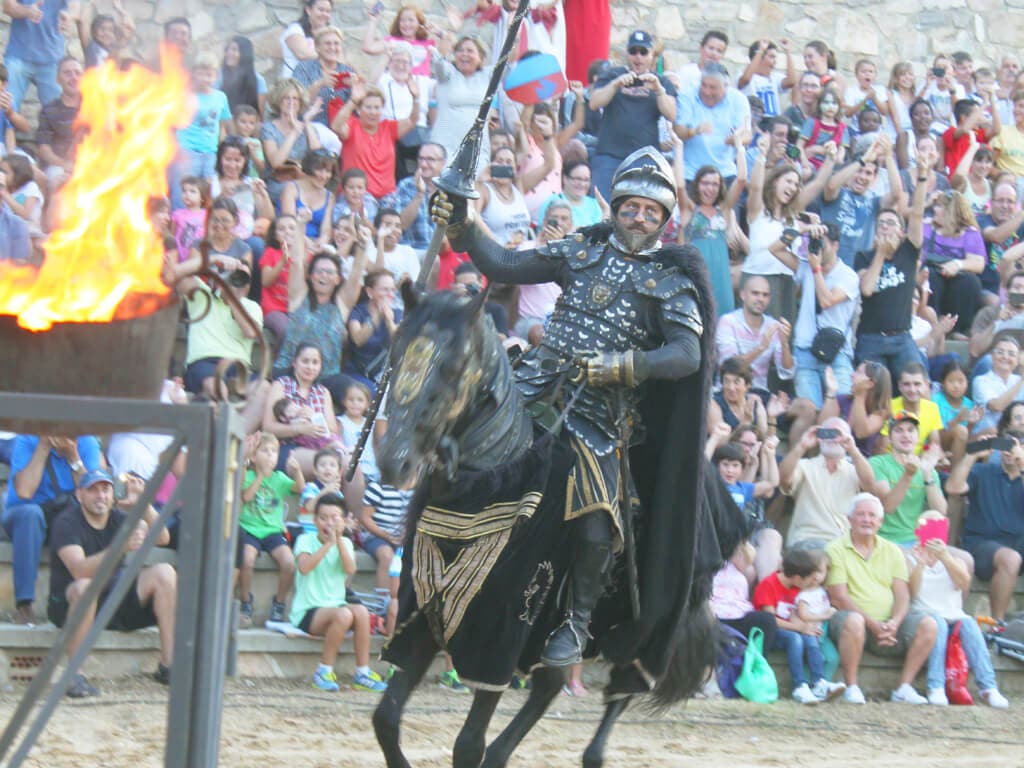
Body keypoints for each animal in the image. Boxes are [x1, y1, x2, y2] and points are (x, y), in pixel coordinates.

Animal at [368, 286, 745, 768]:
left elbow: (467, 745)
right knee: (551, 683)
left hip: (648, 622)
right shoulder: (423, 622)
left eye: (452, 368)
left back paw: (593, 753)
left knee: (619, 684)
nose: (393, 461)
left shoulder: (499, 639)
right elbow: (386, 719)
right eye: (396, 353)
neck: (489, 481)